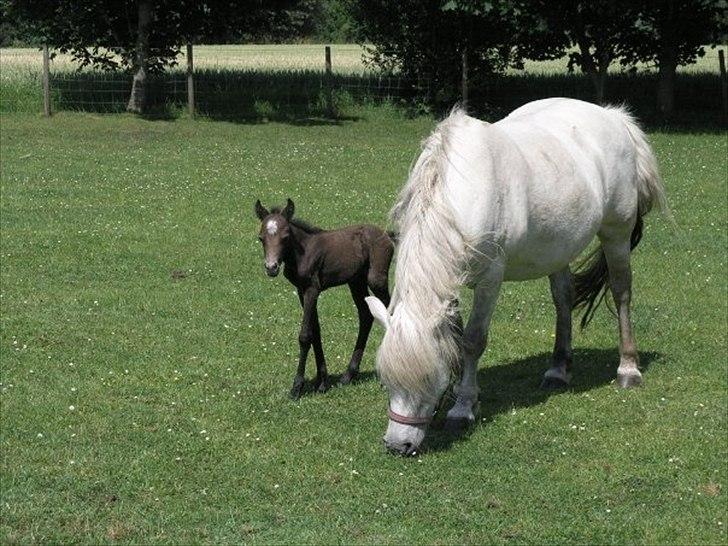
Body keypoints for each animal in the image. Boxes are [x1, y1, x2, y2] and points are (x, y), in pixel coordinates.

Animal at [255, 198, 392, 398]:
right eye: (261, 238)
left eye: (285, 236)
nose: (271, 267)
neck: (302, 252)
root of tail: (387, 235)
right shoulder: (301, 290)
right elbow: (316, 332)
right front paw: (322, 382)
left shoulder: (312, 289)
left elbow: (305, 336)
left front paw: (297, 387)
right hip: (356, 281)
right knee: (366, 315)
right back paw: (348, 375)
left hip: (377, 280)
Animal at [366, 98, 668, 454]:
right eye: (385, 380)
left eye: (428, 379)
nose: (398, 445)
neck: (463, 193)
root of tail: (614, 117)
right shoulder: (449, 284)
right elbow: (455, 337)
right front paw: (466, 393)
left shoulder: (489, 279)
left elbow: (472, 340)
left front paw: (462, 407)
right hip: (559, 247)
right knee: (563, 300)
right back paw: (558, 370)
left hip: (616, 235)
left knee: (621, 293)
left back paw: (628, 369)